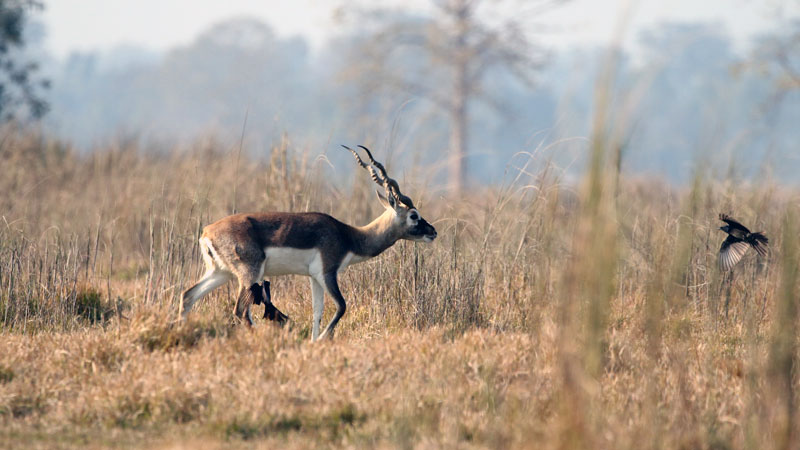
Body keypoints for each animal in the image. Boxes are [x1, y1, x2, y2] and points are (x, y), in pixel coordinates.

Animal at [180, 146, 438, 340]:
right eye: (413, 215)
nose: (432, 232)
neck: (348, 236)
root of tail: (207, 231)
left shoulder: (314, 277)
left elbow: (317, 312)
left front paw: (314, 342)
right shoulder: (327, 272)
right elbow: (342, 306)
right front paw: (322, 339)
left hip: (220, 273)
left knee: (188, 296)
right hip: (249, 274)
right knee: (241, 311)